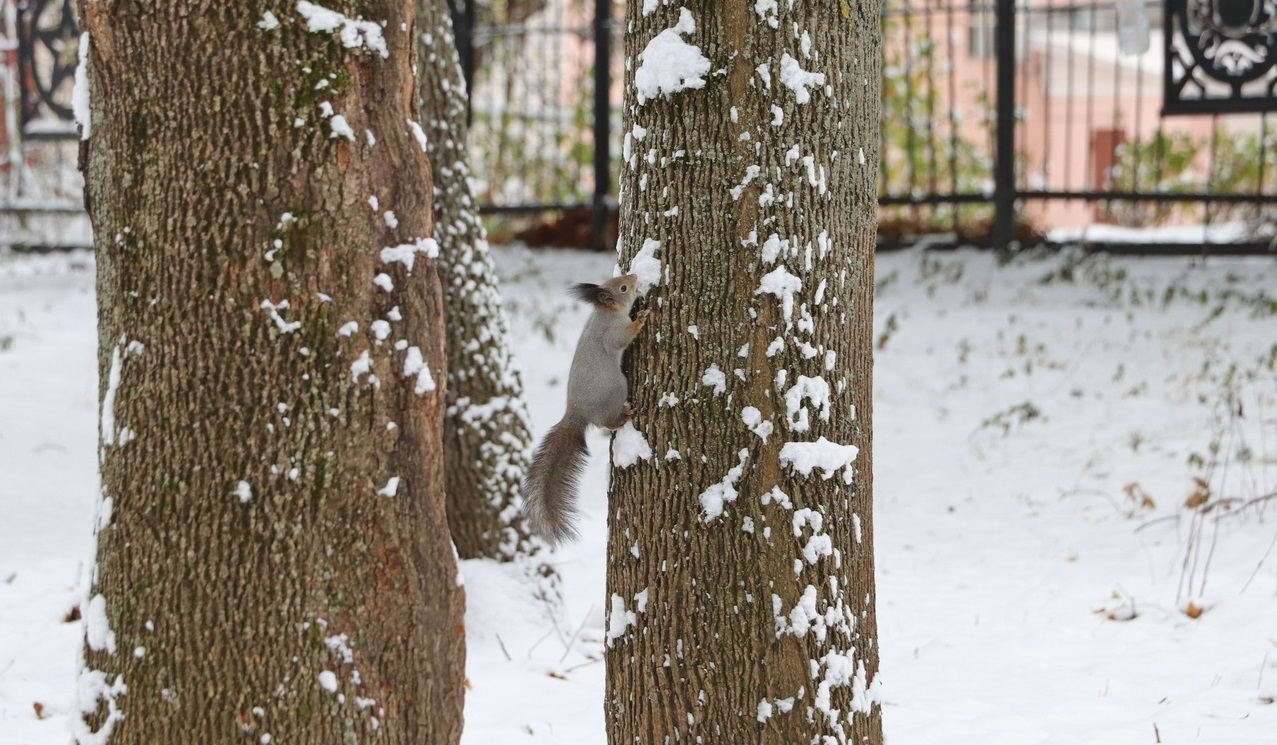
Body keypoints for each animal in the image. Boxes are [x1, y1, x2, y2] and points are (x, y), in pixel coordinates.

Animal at [523, 270, 648, 544]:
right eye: (623, 288)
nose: (635, 275)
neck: (604, 312)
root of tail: (576, 414)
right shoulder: (610, 333)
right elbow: (621, 338)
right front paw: (640, 319)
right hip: (617, 386)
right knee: (604, 422)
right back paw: (622, 416)